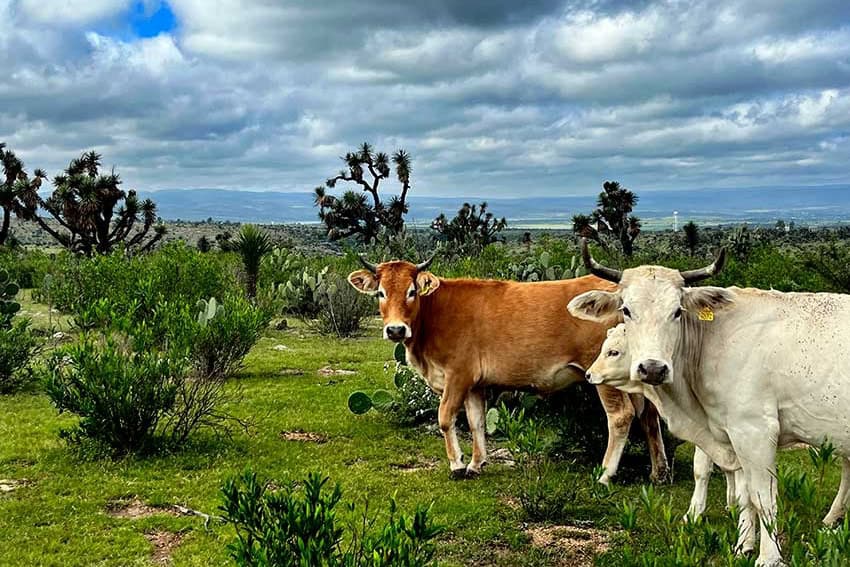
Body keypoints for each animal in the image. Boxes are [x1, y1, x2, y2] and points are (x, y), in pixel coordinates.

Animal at [348, 256, 669, 484]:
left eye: (412, 291)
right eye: (380, 293)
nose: (395, 329)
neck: (434, 313)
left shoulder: (458, 375)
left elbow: (445, 418)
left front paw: (457, 464)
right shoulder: (475, 384)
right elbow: (476, 422)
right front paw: (476, 464)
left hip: (605, 375)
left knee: (621, 416)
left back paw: (605, 474)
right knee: (649, 415)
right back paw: (659, 472)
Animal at [568, 240, 850, 567]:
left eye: (677, 311)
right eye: (626, 310)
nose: (653, 368)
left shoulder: (754, 432)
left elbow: (762, 498)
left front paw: (768, 557)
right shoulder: (730, 435)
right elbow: (743, 494)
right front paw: (743, 545)